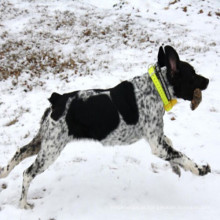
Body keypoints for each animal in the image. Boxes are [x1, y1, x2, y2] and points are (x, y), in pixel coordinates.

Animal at [0, 45, 211, 209]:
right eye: (193, 74)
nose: (208, 80)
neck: (157, 88)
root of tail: (57, 99)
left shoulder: (158, 139)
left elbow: (173, 148)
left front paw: (176, 168)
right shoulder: (157, 145)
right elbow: (182, 156)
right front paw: (199, 169)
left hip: (43, 142)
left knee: (19, 152)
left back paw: (4, 172)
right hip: (51, 149)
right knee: (28, 173)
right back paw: (23, 204)